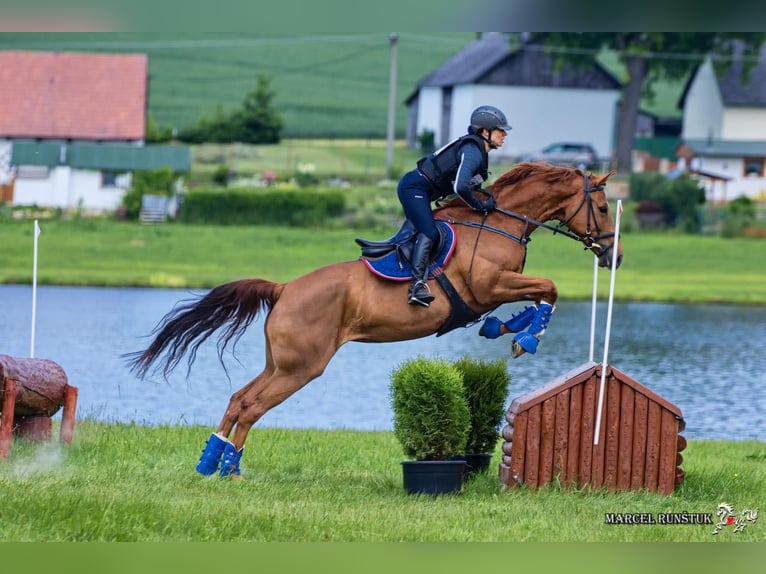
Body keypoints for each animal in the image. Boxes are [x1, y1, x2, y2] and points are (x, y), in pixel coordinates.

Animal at [127, 162, 624, 476]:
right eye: (602, 208)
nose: (614, 257)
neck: (494, 222)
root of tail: (285, 288)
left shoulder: (498, 289)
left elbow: (540, 294)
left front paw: (509, 329)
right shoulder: (489, 286)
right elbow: (549, 290)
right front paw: (525, 336)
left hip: (281, 363)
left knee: (237, 399)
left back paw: (209, 463)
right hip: (301, 367)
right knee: (251, 406)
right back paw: (229, 471)